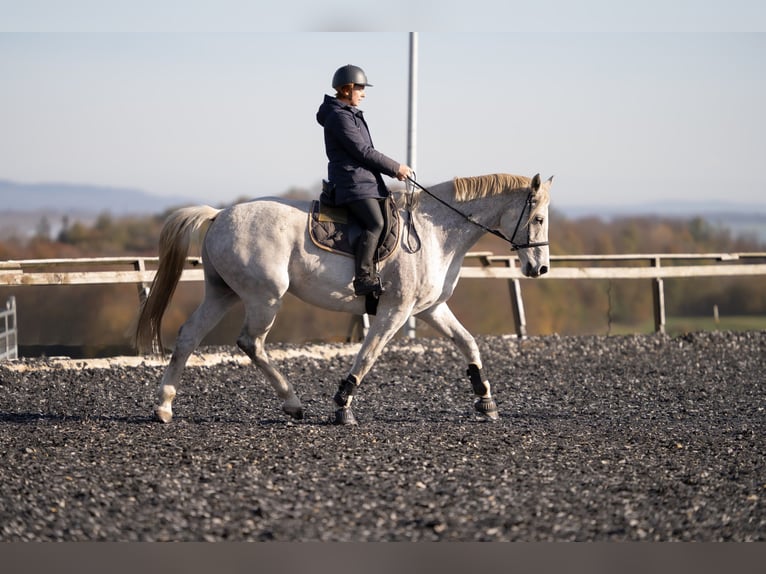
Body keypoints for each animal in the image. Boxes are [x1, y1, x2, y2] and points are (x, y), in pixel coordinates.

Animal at [134, 173, 552, 426]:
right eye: (539, 219)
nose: (541, 269)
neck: (435, 232)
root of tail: (219, 214)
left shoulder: (431, 308)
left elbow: (468, 343)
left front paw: (485, 400)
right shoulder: (395, 310)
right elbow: (367, 355)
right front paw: (342, 406)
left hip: (223, 293)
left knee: (189, 336)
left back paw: (164, 406)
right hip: (264, 297)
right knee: (250, 342)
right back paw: (292, 402)